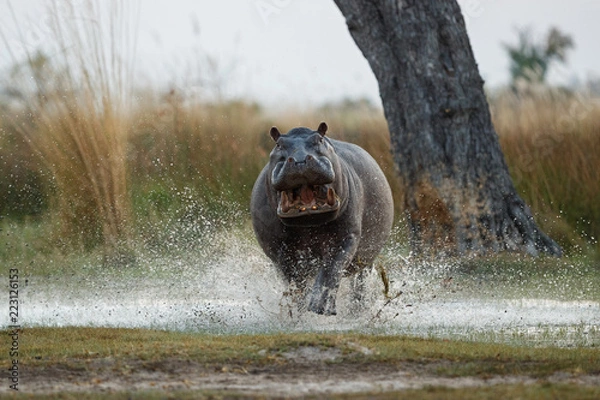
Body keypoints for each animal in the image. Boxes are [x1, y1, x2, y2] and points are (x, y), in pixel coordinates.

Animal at [248, 122, 394, 316]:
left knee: (359, 283)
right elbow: (294, 279)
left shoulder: (347, 236)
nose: (300, 160)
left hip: (367, 258)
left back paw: (357, 312)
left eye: (320, 139)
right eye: (278, 144)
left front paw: (321, 308)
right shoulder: (278, 247)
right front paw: (298, 311)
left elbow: (331, 268)